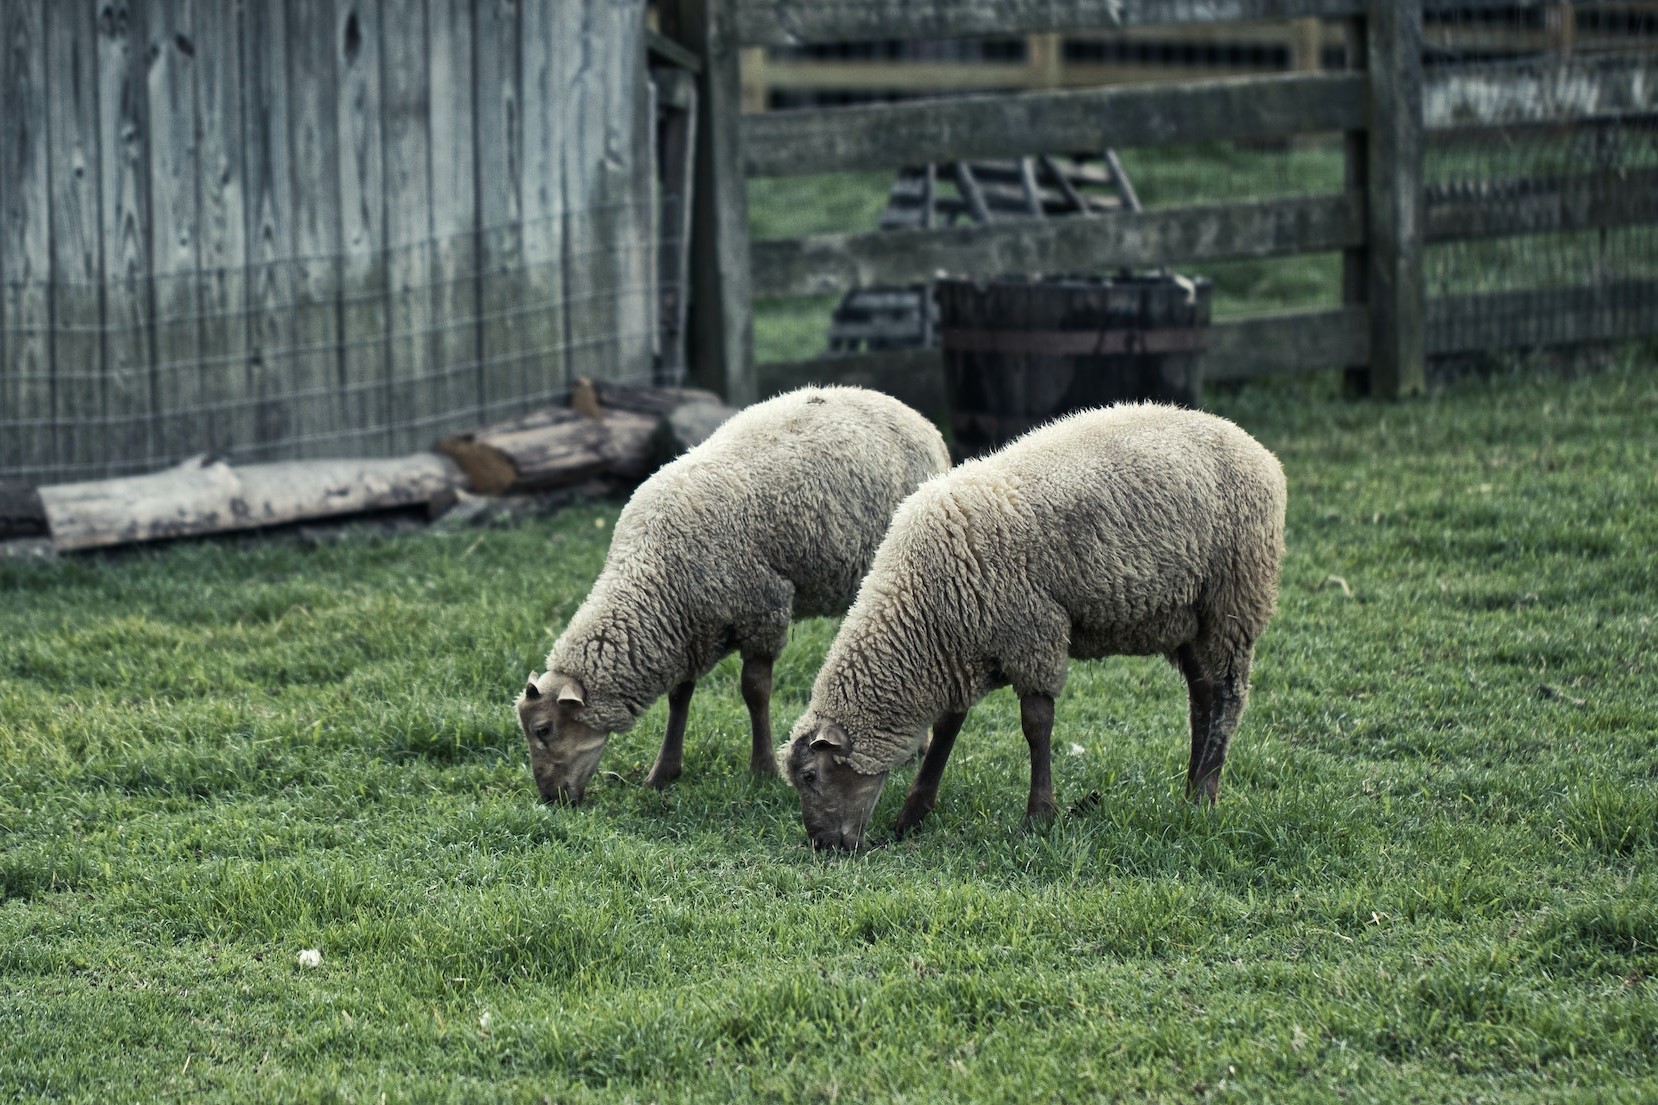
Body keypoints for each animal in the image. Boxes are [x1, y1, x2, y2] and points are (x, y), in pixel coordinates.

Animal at [517, 384, 961, 799]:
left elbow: (755, 691)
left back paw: (919, 746)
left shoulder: (762, 610)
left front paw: (762, 768)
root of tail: (909, 412)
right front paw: (663, 772)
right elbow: (679, 696)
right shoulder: (690, 629)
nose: (550, 798)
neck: (652, 571)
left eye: (544, 729)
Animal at [782, 399, 1286, 846]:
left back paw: (1204, 796)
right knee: (1201, 698)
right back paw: (1191, 789)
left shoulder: (1032, 634)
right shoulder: (965, 645)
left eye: (810, 775)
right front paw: (913, 815)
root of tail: (1261, 454)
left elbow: (1036, 726)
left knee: (1228, 698)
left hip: (1234, 600)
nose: (823, 845)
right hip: (1187, 618)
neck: (921, 613)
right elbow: (947, 728)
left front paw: (1039, 816)